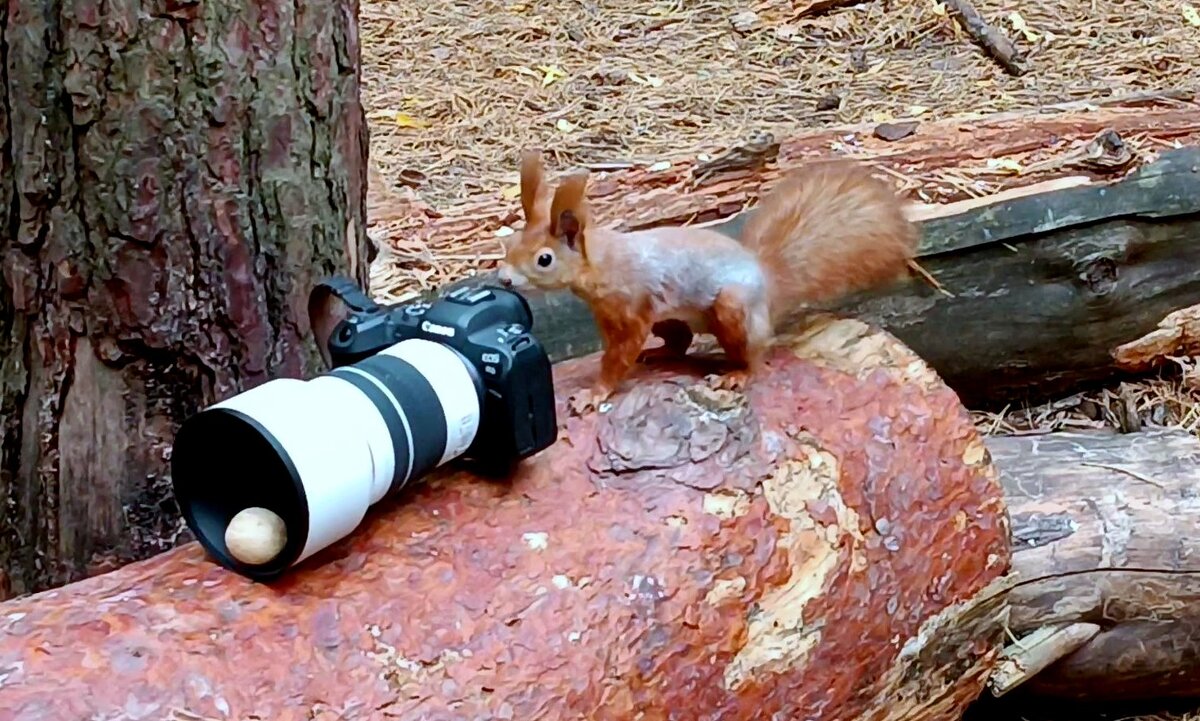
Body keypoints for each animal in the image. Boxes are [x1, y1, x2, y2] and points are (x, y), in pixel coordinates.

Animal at [496, 148, 916, 407]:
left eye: (544, 259)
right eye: (512, 242)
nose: (503, 279)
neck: (603, 263)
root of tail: (767, 286)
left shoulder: (633, 309)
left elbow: (618, 357)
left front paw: (595, 393)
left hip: (732, 308)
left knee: (757, 352)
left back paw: (738, 374)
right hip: (673, 316)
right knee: (680, 341)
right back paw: (661, 353)